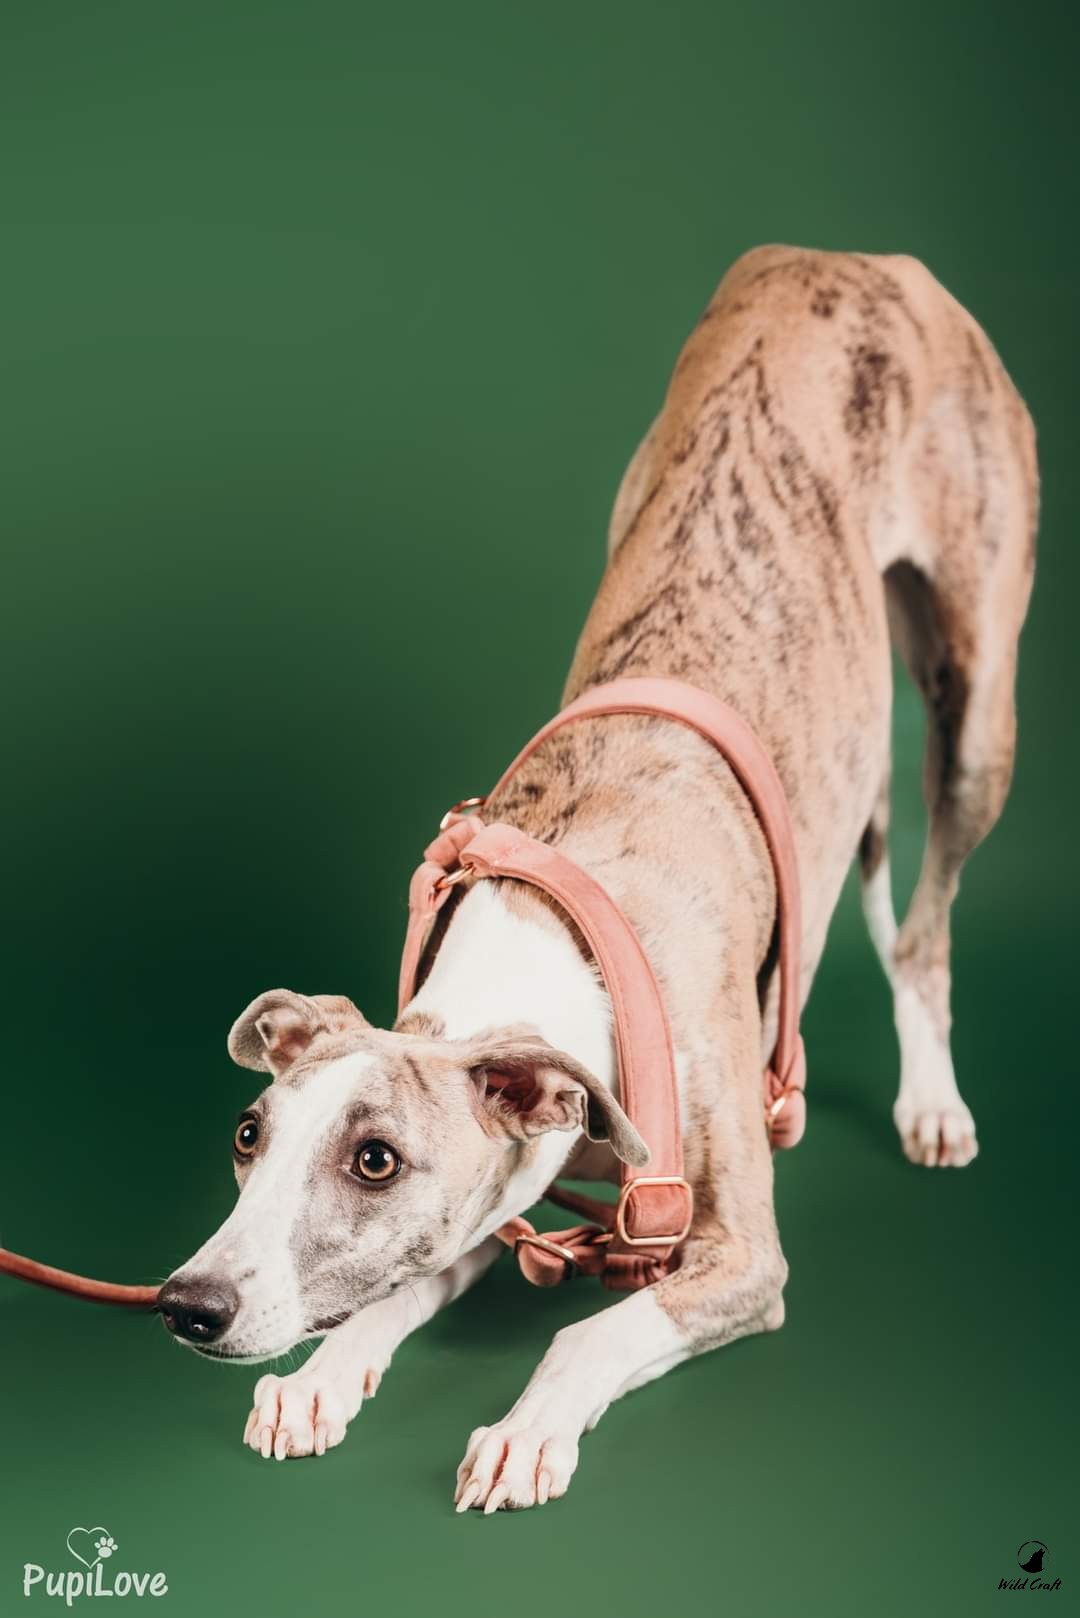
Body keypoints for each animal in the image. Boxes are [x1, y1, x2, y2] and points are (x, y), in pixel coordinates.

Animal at [159, 246, 1037, 1510]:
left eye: (375, 1159)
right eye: (247, 1130)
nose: (188, 1305)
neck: (559, 935)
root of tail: (852, 261)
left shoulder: (740, 1257)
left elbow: (589, 1330)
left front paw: (525, 1428)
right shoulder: (505, 1192)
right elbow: (408, 1283)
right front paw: (322, 1378)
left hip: (975, 707)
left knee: (922, 924)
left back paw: (929, 1100)